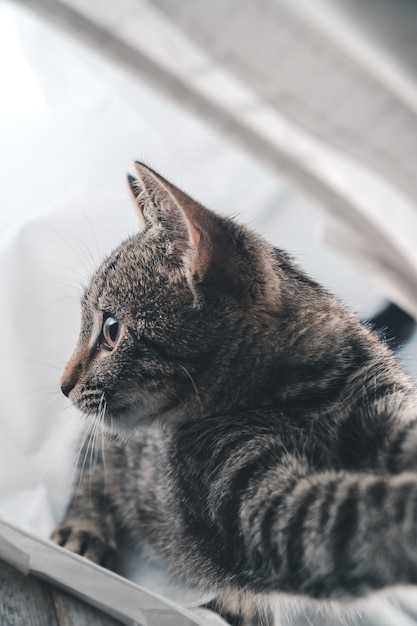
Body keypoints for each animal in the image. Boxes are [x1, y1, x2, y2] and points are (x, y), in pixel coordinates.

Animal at [52, 162, 417, 624]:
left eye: (111, 330)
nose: (63, 385)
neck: (301, 391)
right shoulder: (266, 508)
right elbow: (361, 514)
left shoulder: (387, 406)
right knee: (92, 463)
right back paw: (85, 529)